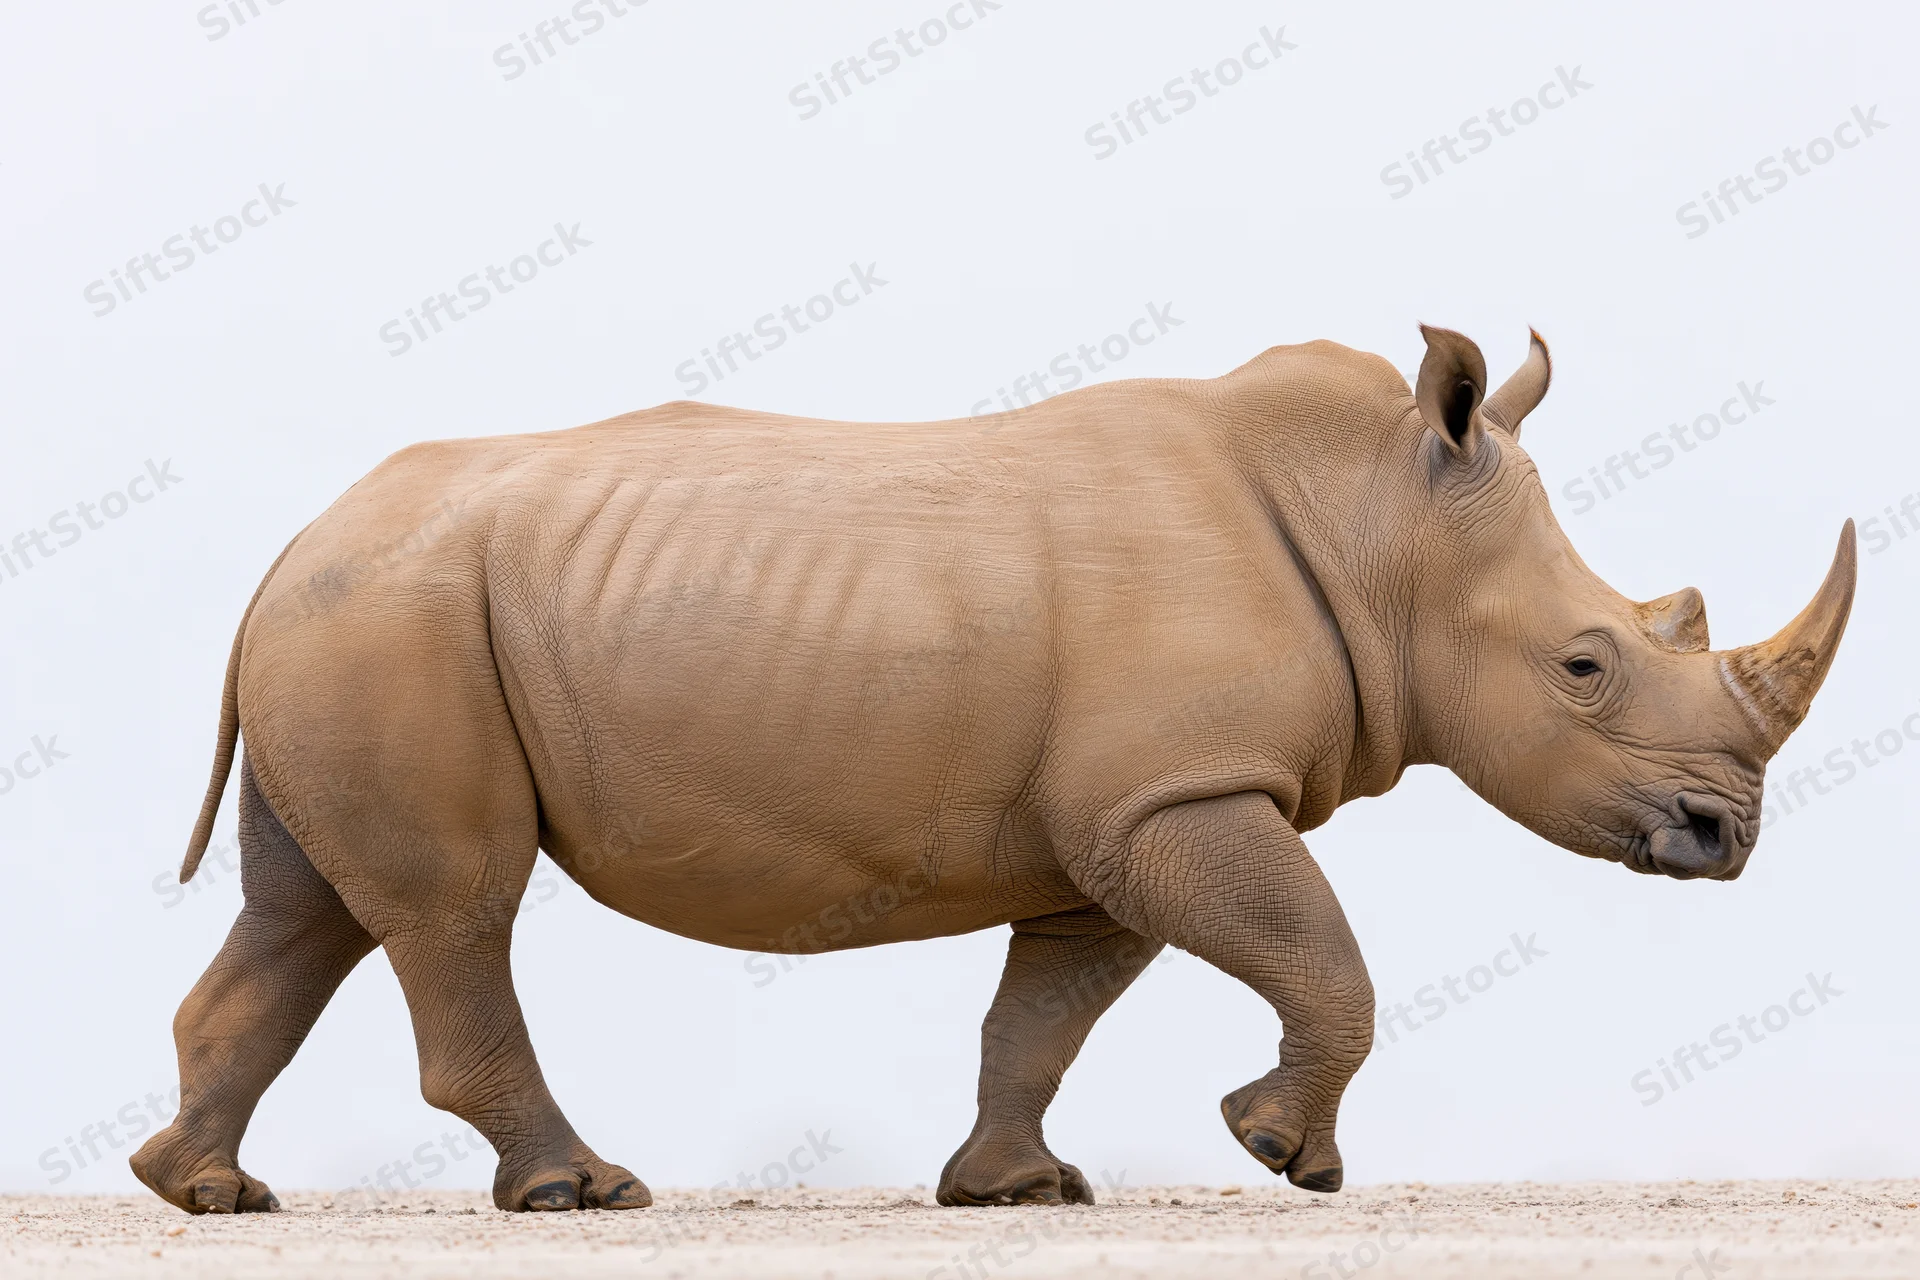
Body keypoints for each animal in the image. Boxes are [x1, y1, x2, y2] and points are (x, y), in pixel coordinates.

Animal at [132, 326, 1854, 1214]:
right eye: (1587, 665)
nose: (1724, 836)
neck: (1382, 528)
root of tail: (290, 544)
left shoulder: (1119, 819)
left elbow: (1046, 1014)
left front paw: (1016, 1191)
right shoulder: (1177, 793)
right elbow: (1327, 959)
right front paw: (1284, 1160)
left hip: (362, 614)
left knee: (311, 911)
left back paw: (203, 1195)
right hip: (393, 617)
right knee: (452, 908)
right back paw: (581, 1195)